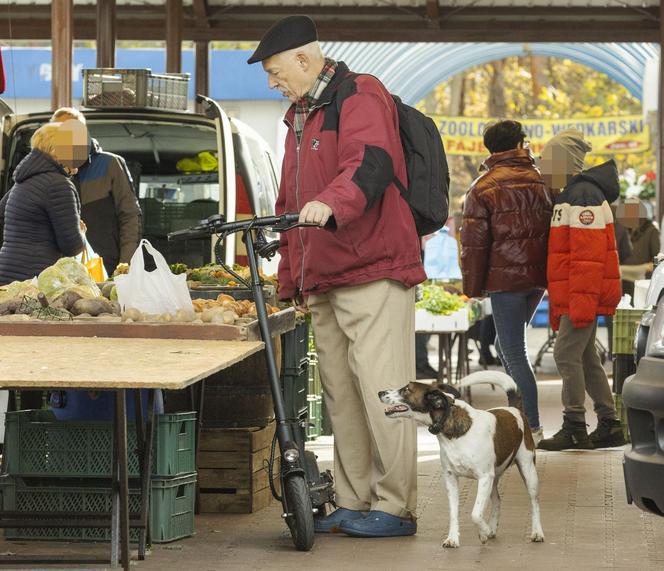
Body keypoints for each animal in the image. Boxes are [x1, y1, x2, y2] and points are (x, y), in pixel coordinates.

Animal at [378, 370, 544, 548]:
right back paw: (493, 527)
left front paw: (483, 532)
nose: (380, 392)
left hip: (528, 470)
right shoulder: (451, 478)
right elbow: (454, 513)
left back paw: (537, 532)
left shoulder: (484, 477)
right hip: (494, 477)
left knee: (535, 502)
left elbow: (476, 514)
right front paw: (453, 538)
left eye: (406, 390)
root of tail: (514, 409)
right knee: (497, 501)